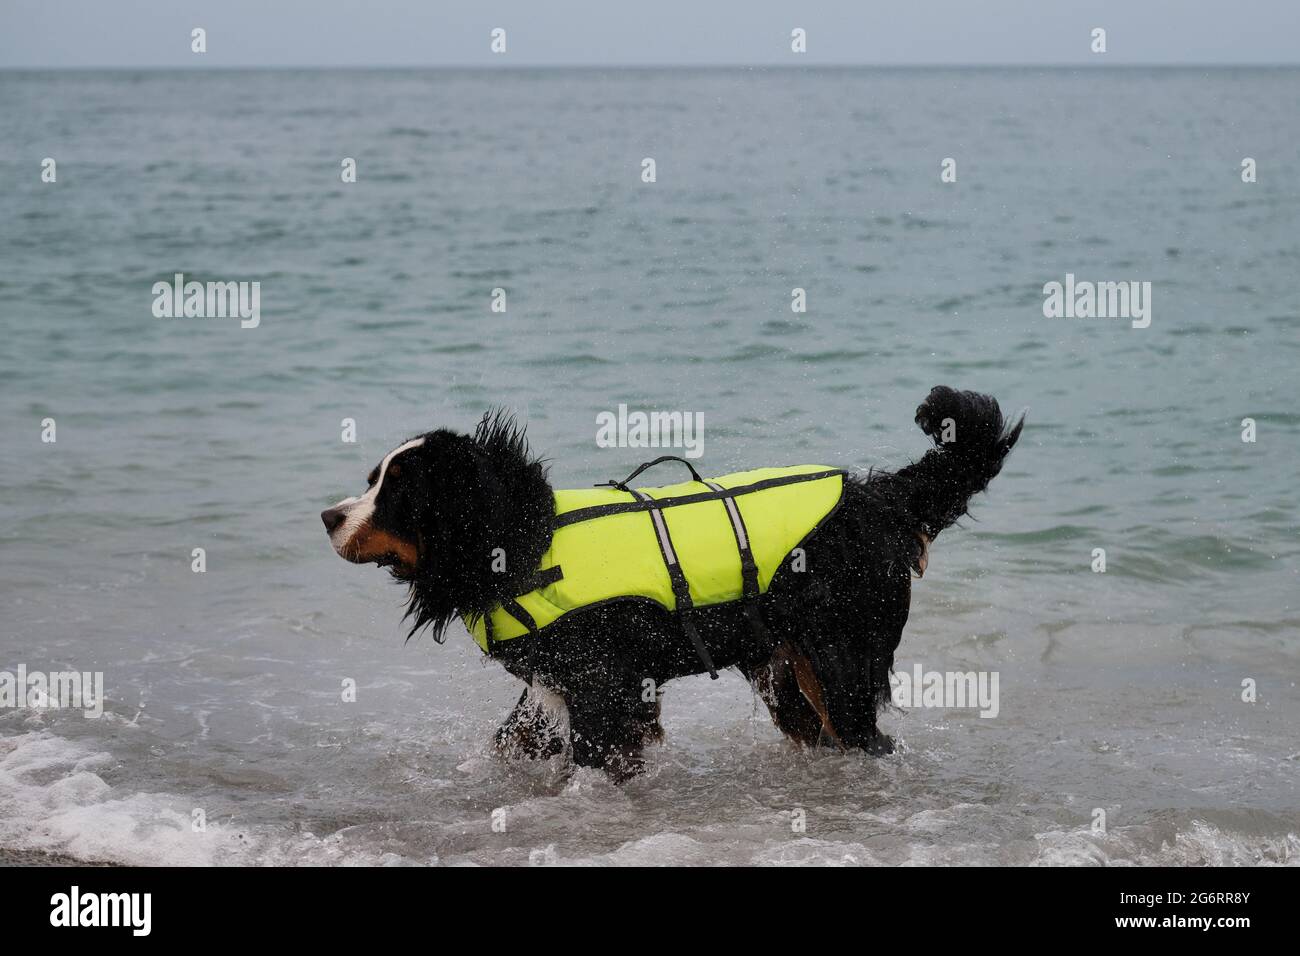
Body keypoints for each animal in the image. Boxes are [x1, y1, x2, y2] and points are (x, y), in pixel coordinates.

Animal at [319, 385, 1019, 780]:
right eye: (372, 479)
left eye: (397, 493)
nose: (329, 516)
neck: (524, 542)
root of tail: (879, 498)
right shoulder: (553, 690)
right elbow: (510, 744)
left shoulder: (604, 692)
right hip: (789, 672)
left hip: (841, 663)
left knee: (865, 738)